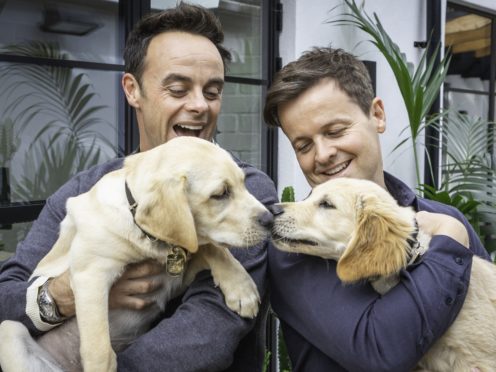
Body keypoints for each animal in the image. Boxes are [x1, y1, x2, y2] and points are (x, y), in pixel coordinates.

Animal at [0, 137, 272, 372]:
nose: (270, 219)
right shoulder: (91, 274)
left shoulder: (175, 274)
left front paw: (242, 289)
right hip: (9, 330)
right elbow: (99, 350)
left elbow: (212, 247)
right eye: (220, 194)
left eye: (244, 183)